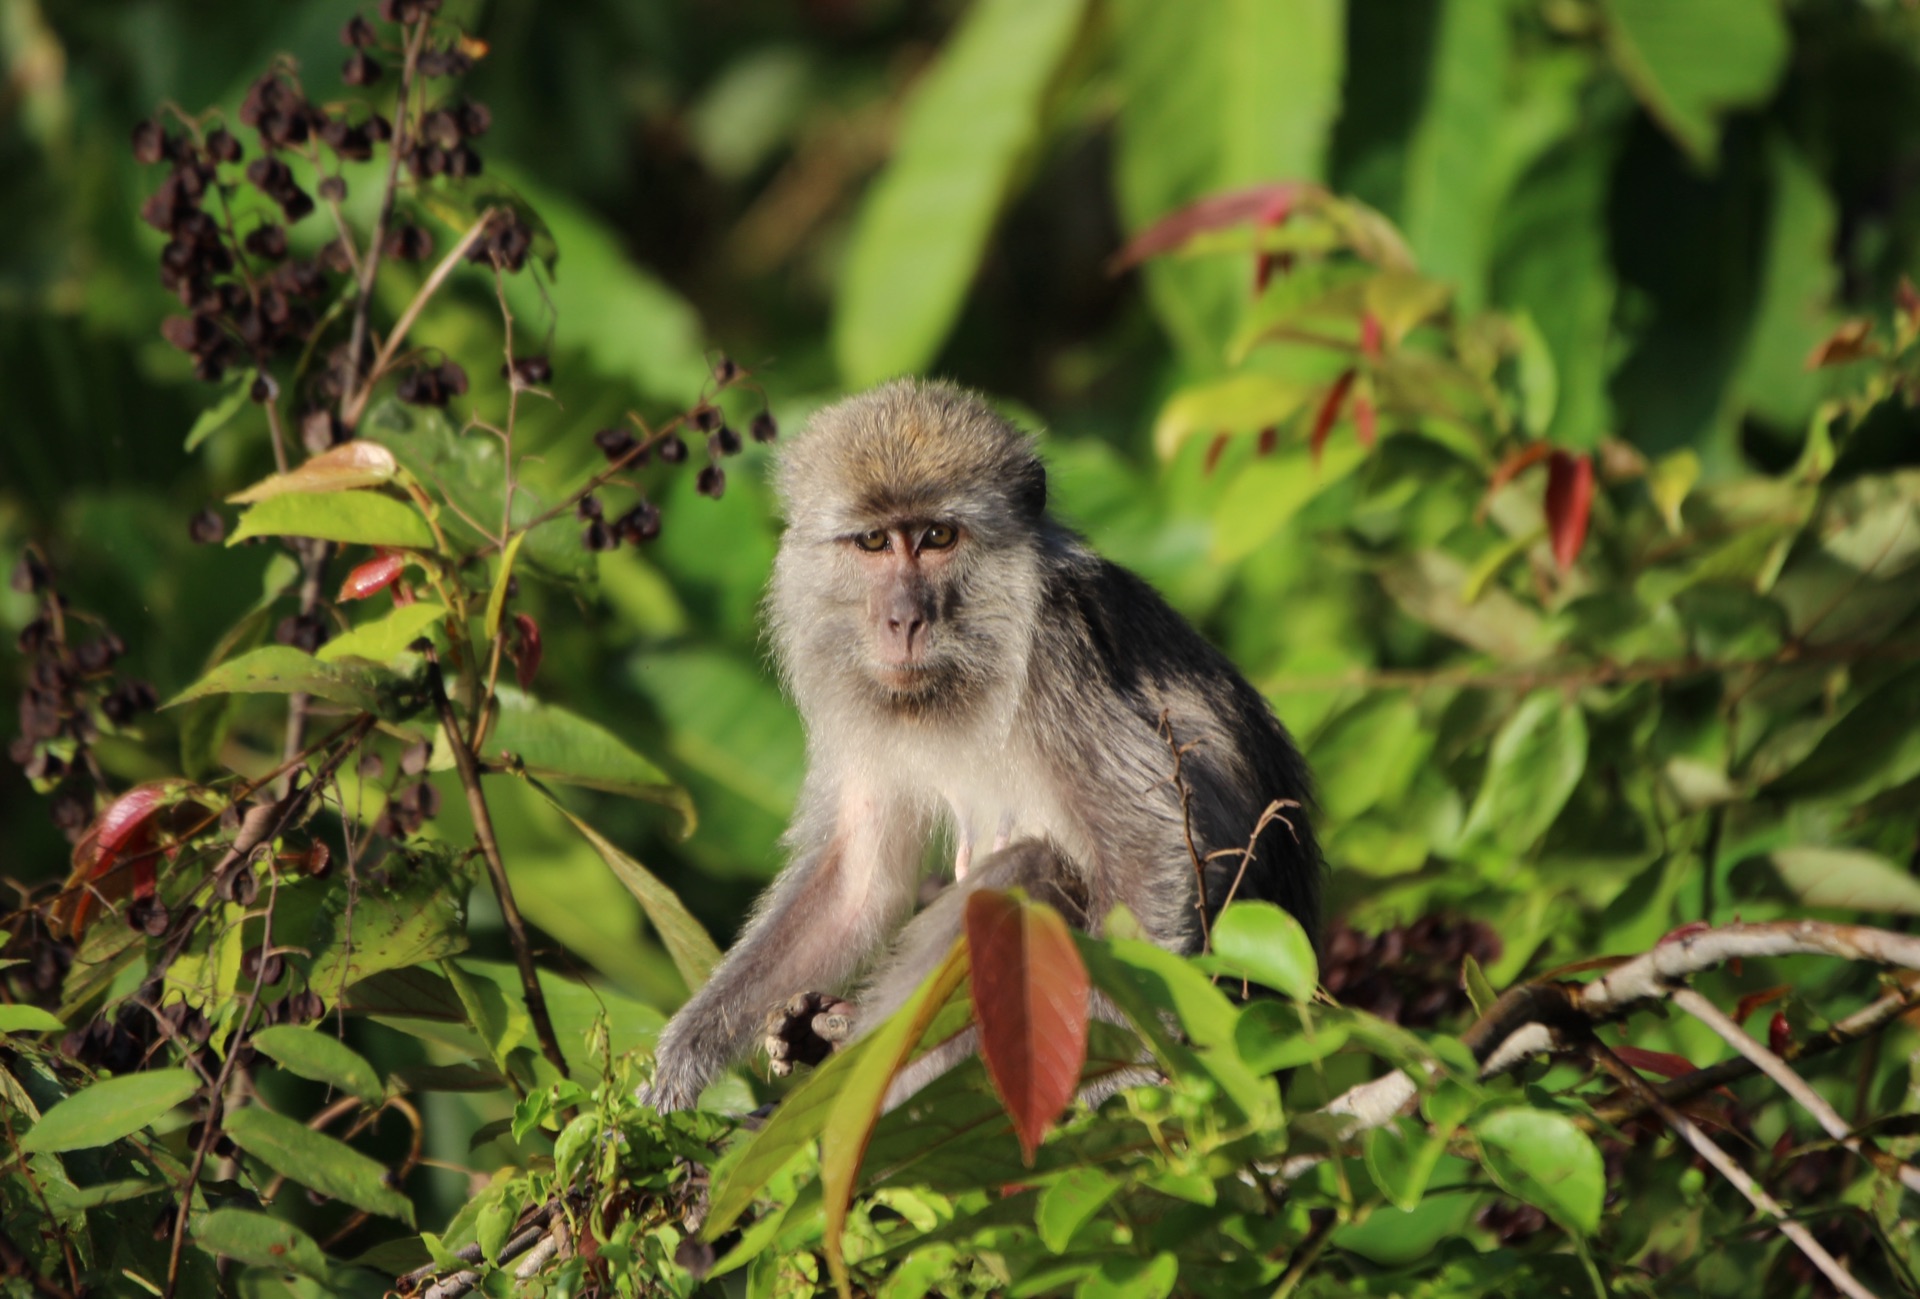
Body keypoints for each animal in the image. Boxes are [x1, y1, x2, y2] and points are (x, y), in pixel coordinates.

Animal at [645, 377, 1320, 1112]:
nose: (903, 620)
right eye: (874, 541)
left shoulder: (1055, 656)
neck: (957, 683)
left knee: (1028, 870)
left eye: (938, 537)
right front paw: (684, 1057)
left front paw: (1119, 1077)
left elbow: (1151, 842)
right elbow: (859, 881)